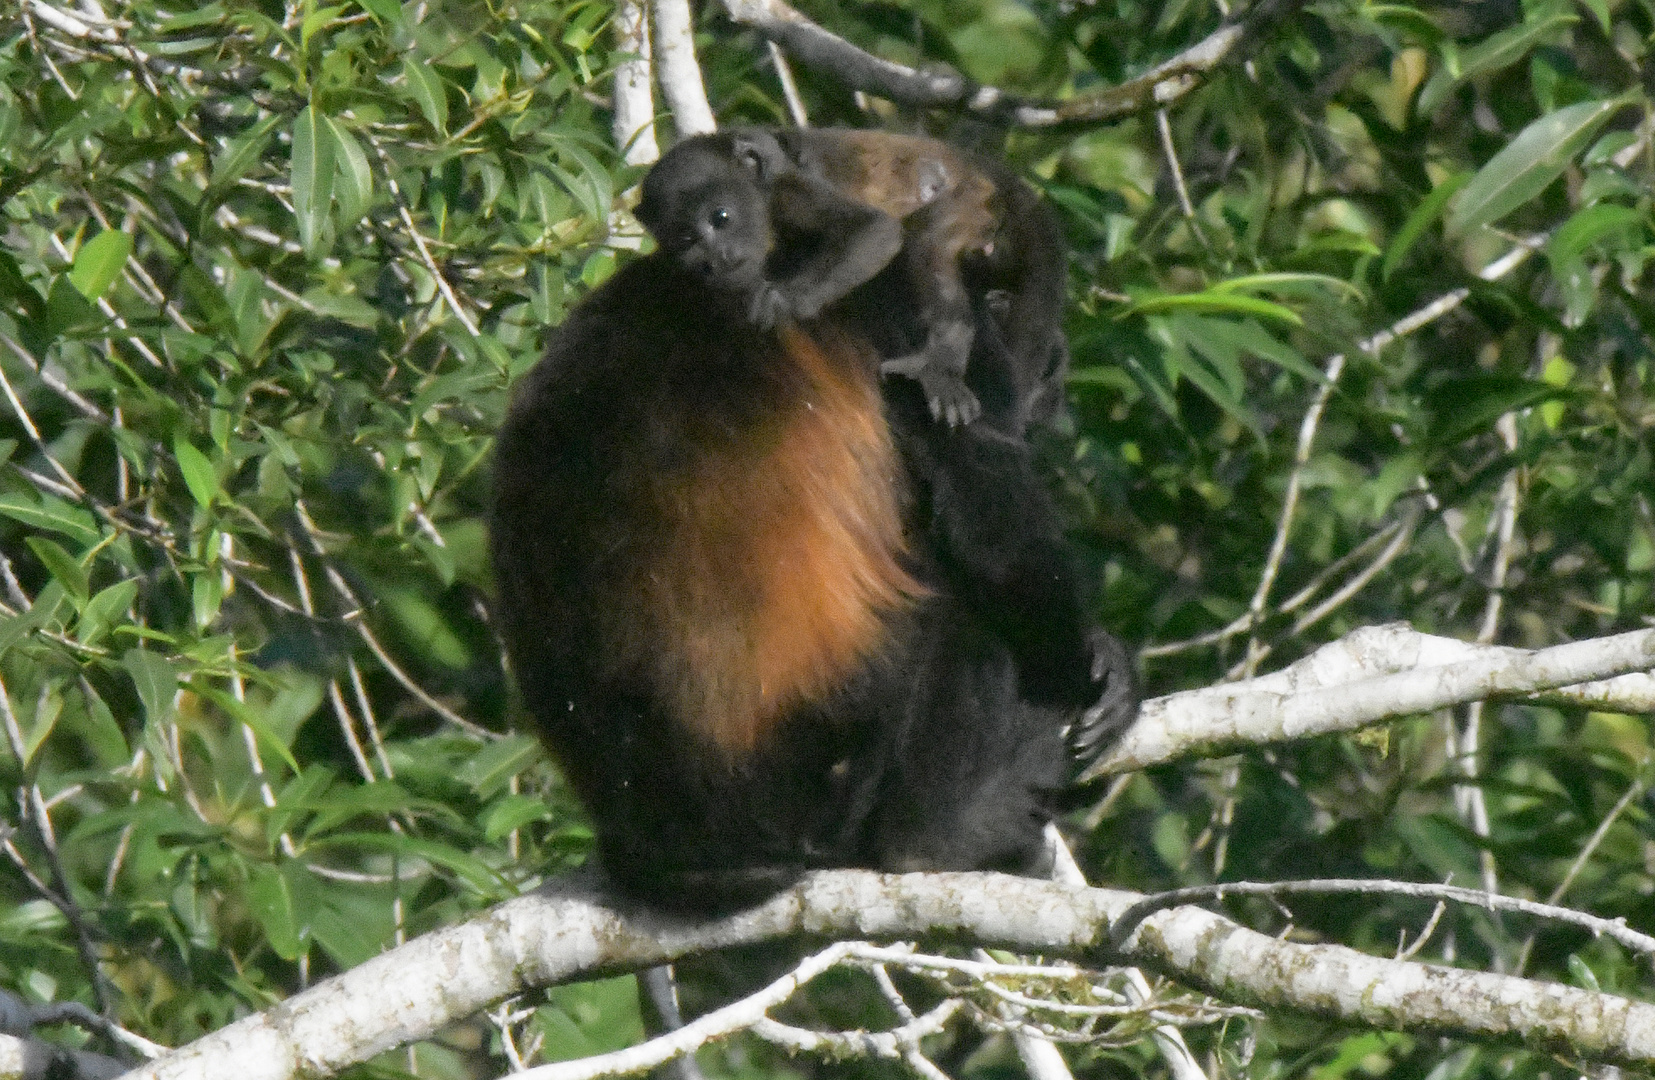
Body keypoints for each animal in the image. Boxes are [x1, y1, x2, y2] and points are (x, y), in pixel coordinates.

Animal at [493, 137, 1138, 912]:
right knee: (973, 626)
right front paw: (1102, 664)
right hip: (827, 770)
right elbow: (996, 534)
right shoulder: (915, 318)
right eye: (1049, 364)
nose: (1056, 382)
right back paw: (938, 839)